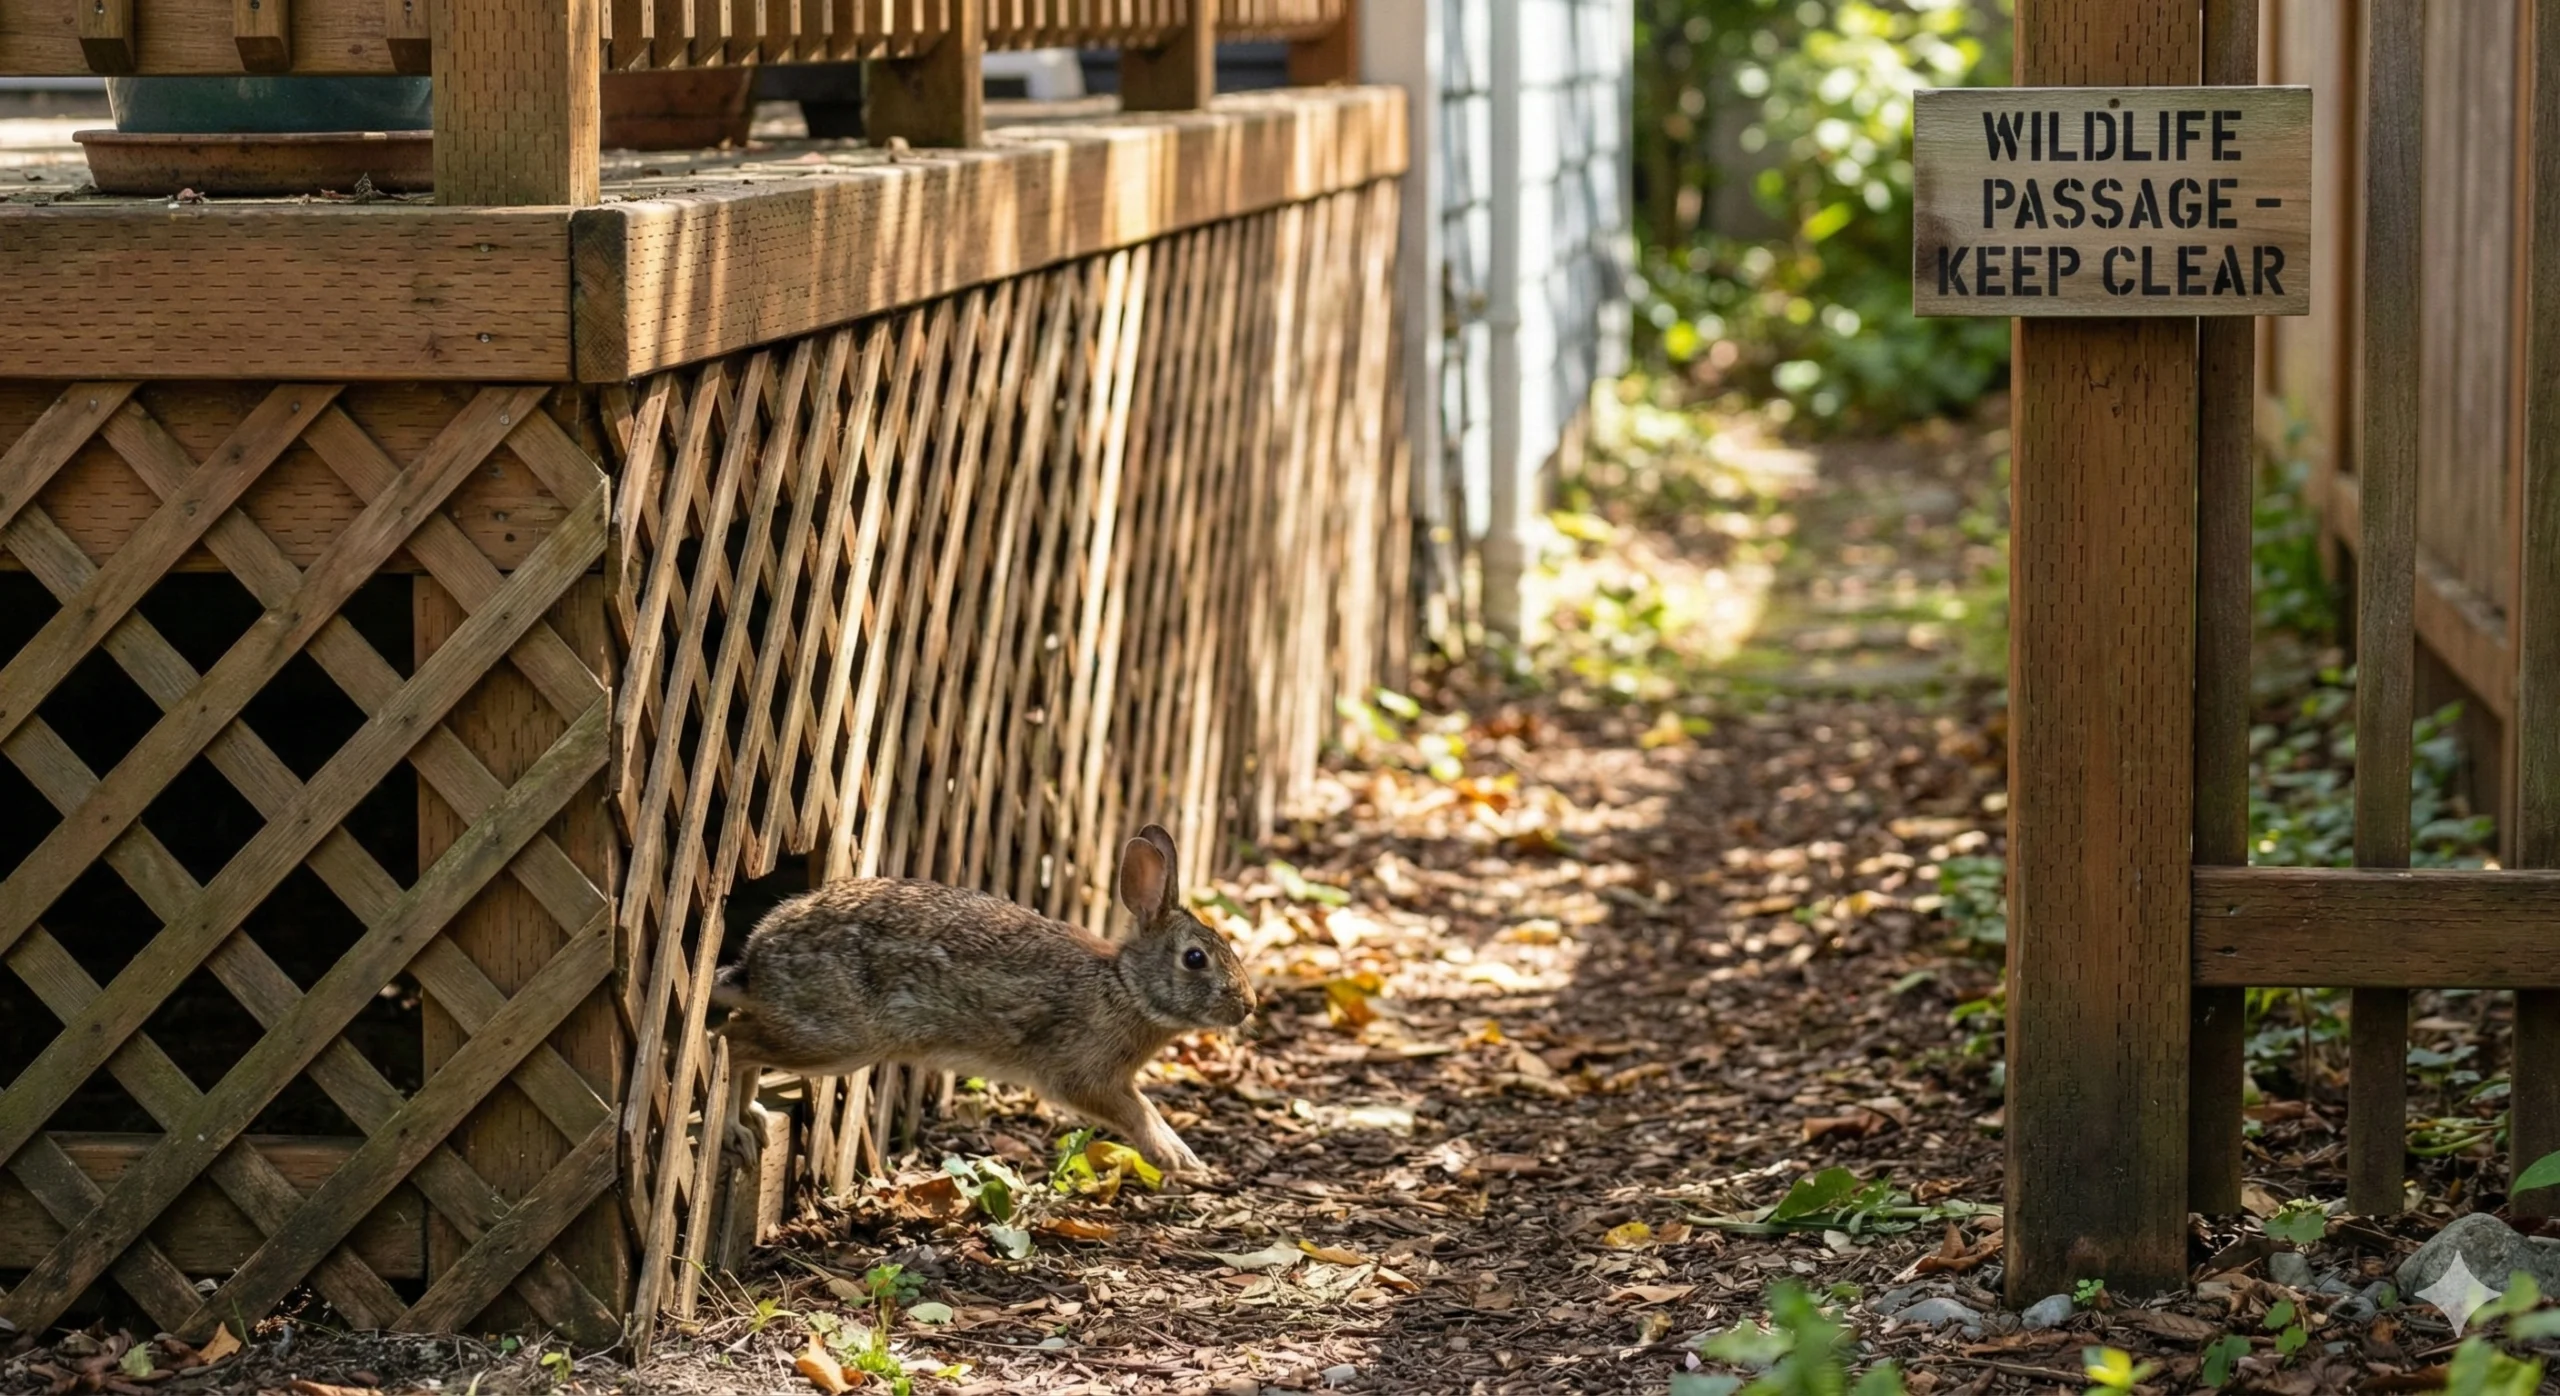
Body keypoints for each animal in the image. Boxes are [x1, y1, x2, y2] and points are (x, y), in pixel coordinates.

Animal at [709, 823, 1255, 1176]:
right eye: (1195, 958)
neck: (1125, 987)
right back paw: (735, 1130)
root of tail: (758, 956)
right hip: (836, 1039)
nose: (1247, 1005)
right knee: (733, 1039)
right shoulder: (1085, 1076)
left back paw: (754, 1116)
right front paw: (1177, 1158)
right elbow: (1138, 1109)